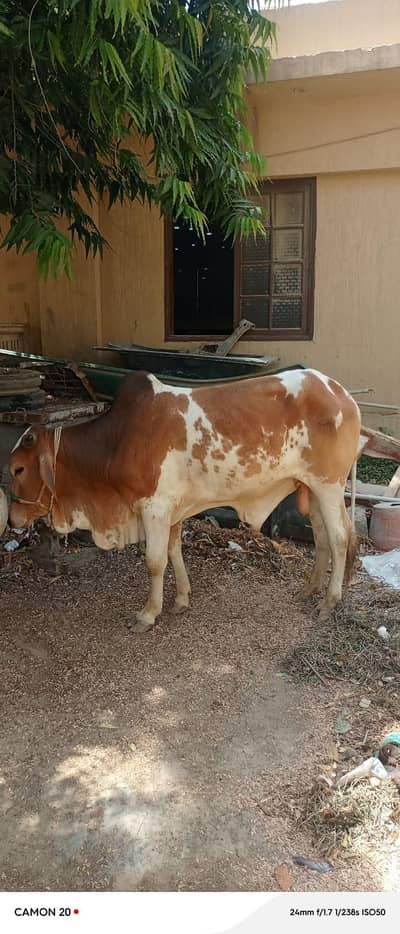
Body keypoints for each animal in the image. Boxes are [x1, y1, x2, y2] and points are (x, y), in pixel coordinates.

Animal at [8, 368, 360, 633]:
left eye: (18, 469)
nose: (11, 519)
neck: (117, 440)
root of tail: (341, 393)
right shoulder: (173, 509)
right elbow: (174, 551)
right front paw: (180, 600)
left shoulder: (155, 507)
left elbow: (154, 561)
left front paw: (148, 614)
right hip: (311, 488)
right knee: (322, 537)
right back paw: (310, 589)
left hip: (329, 485)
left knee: (339, 537)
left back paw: (329, 601)